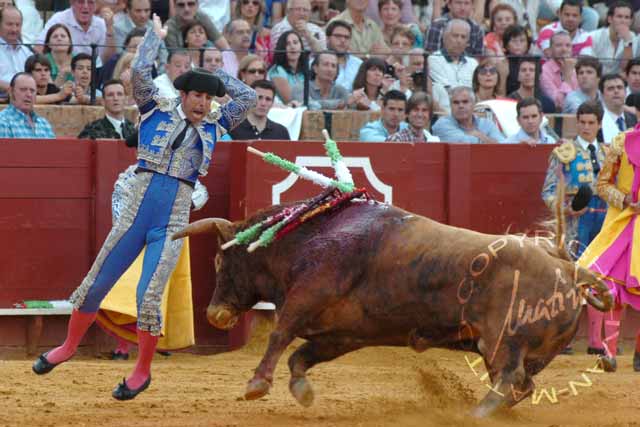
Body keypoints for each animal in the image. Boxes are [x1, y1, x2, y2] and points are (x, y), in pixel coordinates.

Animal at [172, 200, 612, 418]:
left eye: (219, 260)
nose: (214, 314)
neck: (307, 235)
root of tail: (567, 267)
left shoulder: (307, 296)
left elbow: (280, 335)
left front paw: (257, 384)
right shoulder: (343, 334)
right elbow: (301, 355)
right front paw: (302, 391)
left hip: (502, 342)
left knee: (510, 378)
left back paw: (476, 412)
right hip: (519, 351)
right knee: (522, 385)